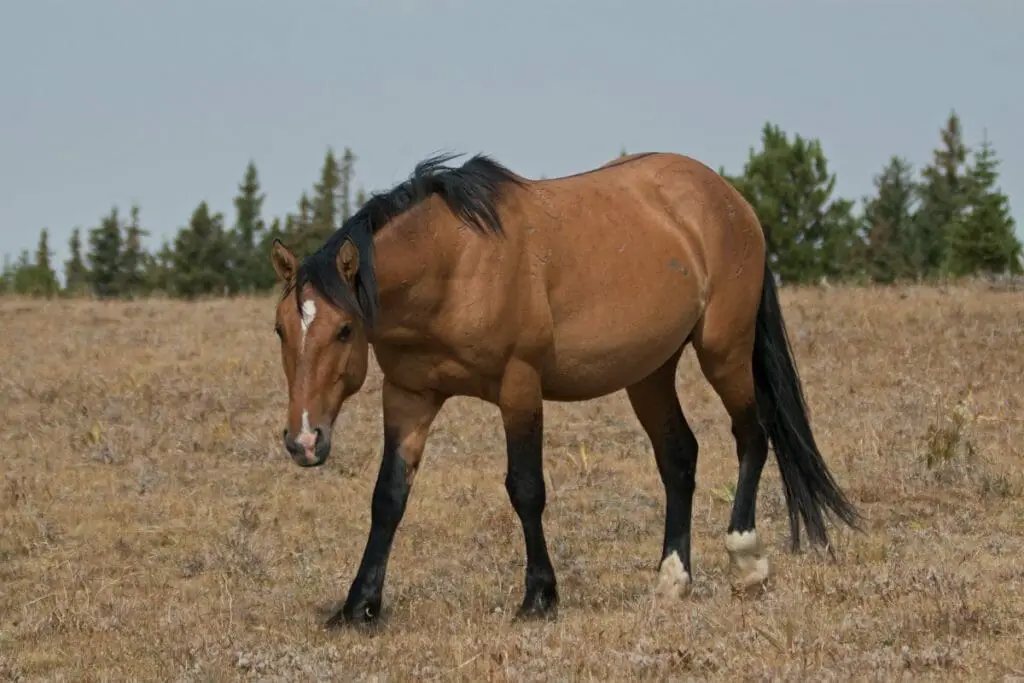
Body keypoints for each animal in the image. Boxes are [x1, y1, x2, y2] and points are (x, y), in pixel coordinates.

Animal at [268, 149, 860, 630]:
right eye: (280, 329)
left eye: (344, 330)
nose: (304, 441)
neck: (454, 264)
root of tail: (730, 199)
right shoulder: (409, 396)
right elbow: (388, 496)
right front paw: (358, 606)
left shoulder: (519, 387)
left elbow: (527, 489)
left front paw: (539, 598)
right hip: (649, 372)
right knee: (679, 458)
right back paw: (672, 579)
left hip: (724, 350)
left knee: (752, 435)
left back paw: (746, 562)